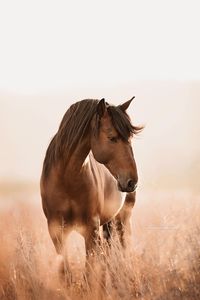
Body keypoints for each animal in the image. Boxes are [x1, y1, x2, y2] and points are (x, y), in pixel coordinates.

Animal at [40, 98, 142, 282]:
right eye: (112, 138)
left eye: (130, 138)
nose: (132, 182)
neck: (67, 179)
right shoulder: (56, 230)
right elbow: (66, 273)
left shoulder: (91, 230)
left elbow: (89, 273)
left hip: (123, 219)